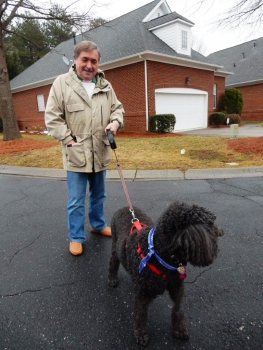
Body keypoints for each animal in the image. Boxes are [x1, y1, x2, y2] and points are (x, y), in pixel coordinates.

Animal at [109, 201, 225, 346]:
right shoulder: (142, 295)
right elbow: (140, 315)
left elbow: (177, 308)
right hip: (115, 245)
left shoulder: (177, 286)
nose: (221, 232)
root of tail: (125, 208)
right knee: (113, 262)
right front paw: (141, 334)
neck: (159, 253)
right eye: (210, 223)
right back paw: (112, 278)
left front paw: (179, 329)